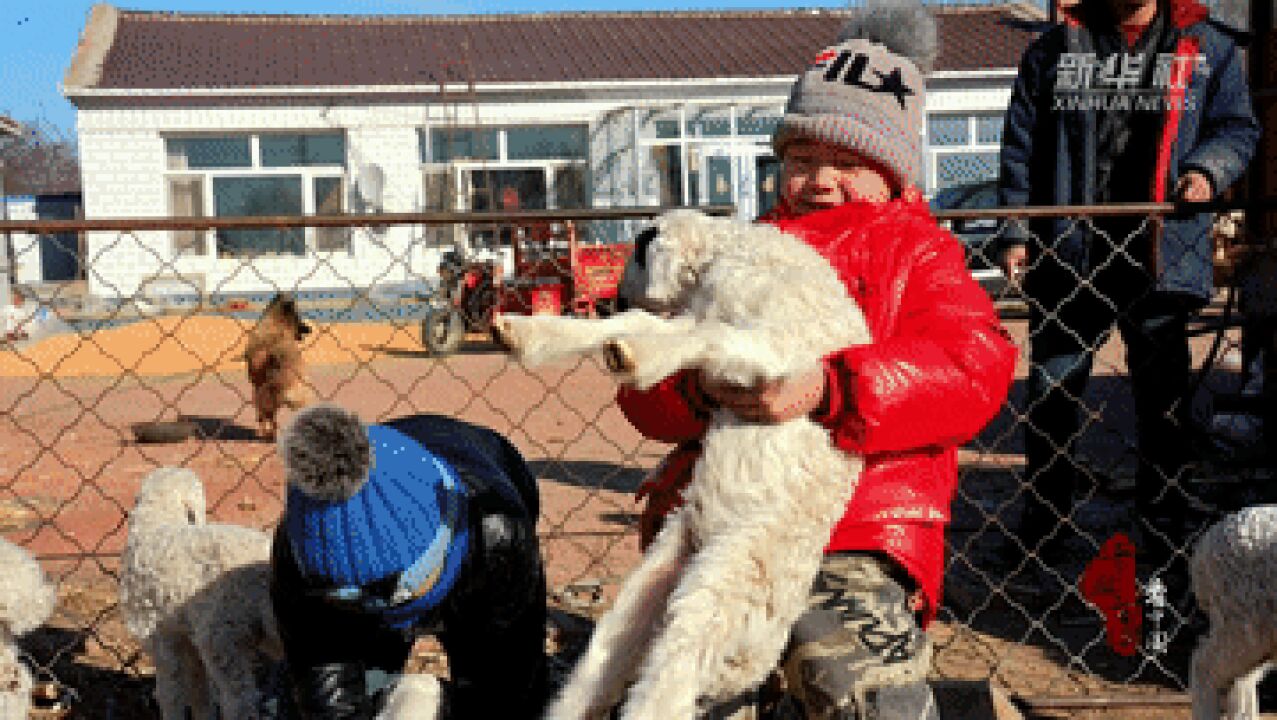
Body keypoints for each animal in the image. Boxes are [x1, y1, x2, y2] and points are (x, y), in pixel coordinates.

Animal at [242, 292, 315, 439]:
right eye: (298, 316)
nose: (309, 329)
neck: (276, 323)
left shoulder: (258, 386)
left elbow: (264, 415)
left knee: (267, 415)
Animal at [492, 209, 873, 720]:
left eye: (636, 251)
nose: (611, 297)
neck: (733, 256)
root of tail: (756, 663)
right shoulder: (701, 320)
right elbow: (649, 322)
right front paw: (527, 333)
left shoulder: (778, 354)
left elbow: (708, 334)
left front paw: (635, 356)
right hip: (648, 589)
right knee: (598, 675)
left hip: (718, 594)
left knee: (665, 689)